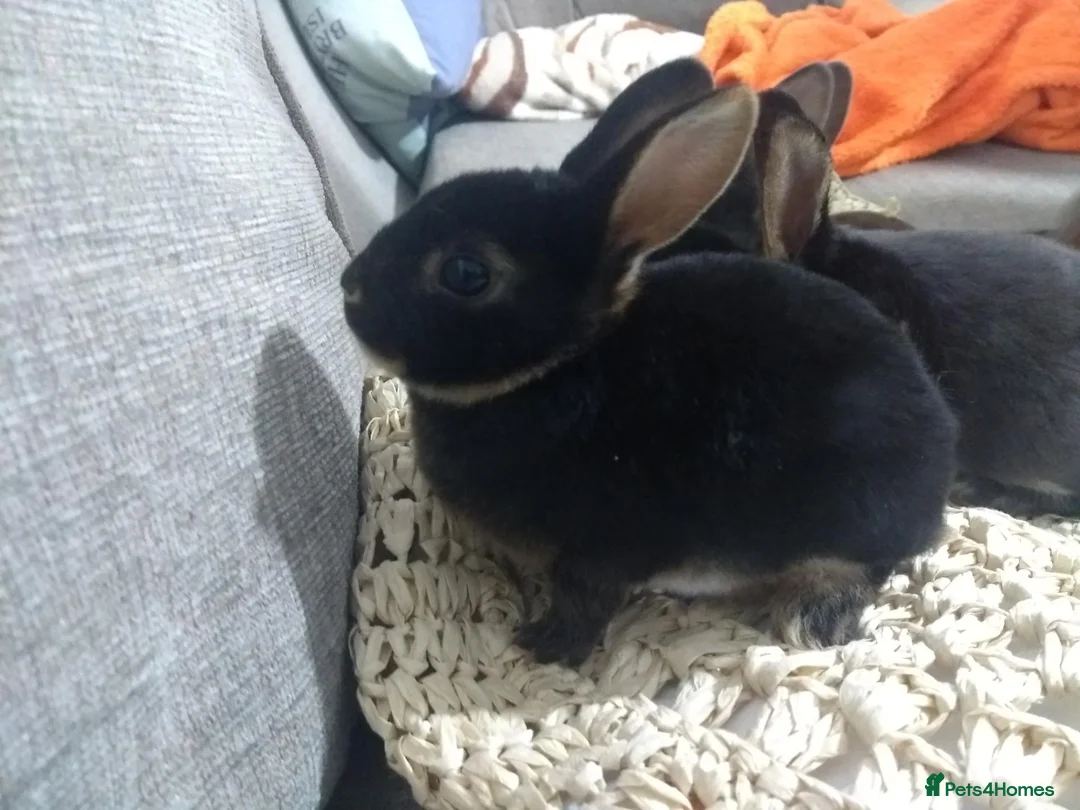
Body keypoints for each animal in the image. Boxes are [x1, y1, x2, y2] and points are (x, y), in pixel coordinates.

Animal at [340, 84, 958, 666]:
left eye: (465, 273)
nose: (351, 286)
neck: (560, 367)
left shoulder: (605, 545)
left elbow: (584, 599)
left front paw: (542, 646)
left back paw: (810, 619)